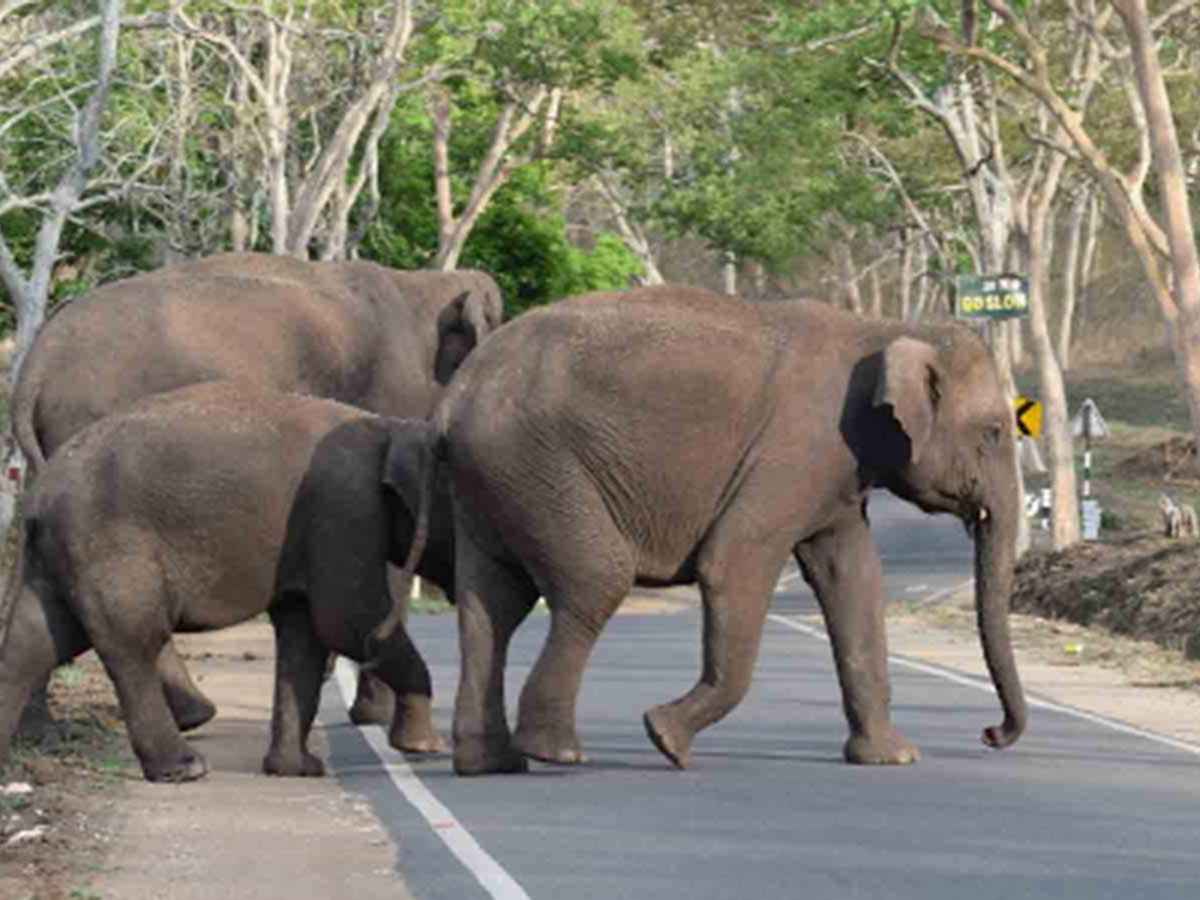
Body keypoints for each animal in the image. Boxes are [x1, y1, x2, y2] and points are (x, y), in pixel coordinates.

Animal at [0, 381, 454, 782]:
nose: (434, 746)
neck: (394, 428)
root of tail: (38, 494)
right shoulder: (345, 506)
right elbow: (348, 619)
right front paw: (423, 745)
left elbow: (304, 631)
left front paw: (297, 770)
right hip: (107, 546)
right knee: (133, 640)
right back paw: (185, 769)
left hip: (61, 552)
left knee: (38, 639)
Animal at [373, 284, 1028, 775]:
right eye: (995, 432)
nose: (991, 734)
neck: (886, 328)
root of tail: (453, 398)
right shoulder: (797, 450)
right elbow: (733, 564)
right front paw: (665, 738)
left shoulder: (835, 473)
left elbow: (854, 580)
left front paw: (892, 759)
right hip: (535, 467)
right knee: (594, 579)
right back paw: (555, 753)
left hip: (491, 480)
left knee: (492, 603)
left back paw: (492, 763)